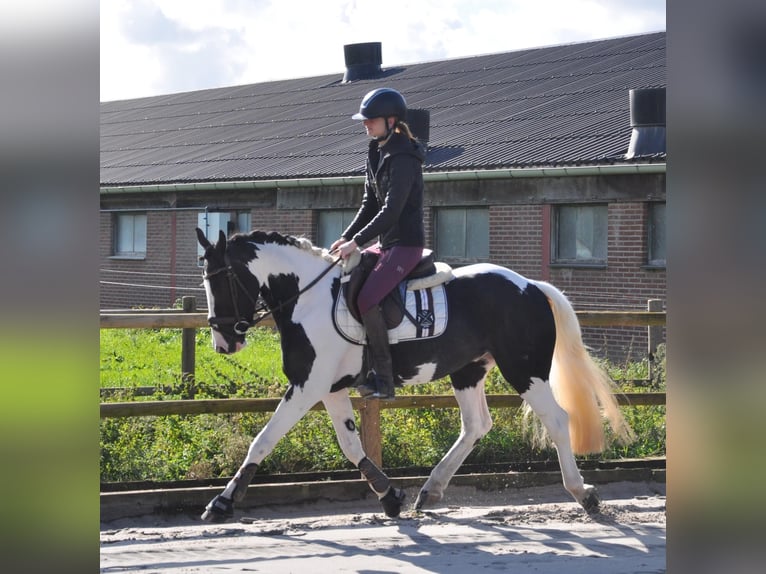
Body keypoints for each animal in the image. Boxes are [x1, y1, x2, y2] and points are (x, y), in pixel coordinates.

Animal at [195, 227, 632, 524]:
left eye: (221, 280)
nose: (223, 343)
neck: (308, 296)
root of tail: (531, 286)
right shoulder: (329, 388)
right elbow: (351, 445)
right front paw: (390, 497)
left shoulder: (307, 385)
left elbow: (264, 440)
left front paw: (222, 502)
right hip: (469, 370)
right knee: (476, 425)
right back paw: (430, 490)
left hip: (524, 370)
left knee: (557, 420)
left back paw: (583, 493)